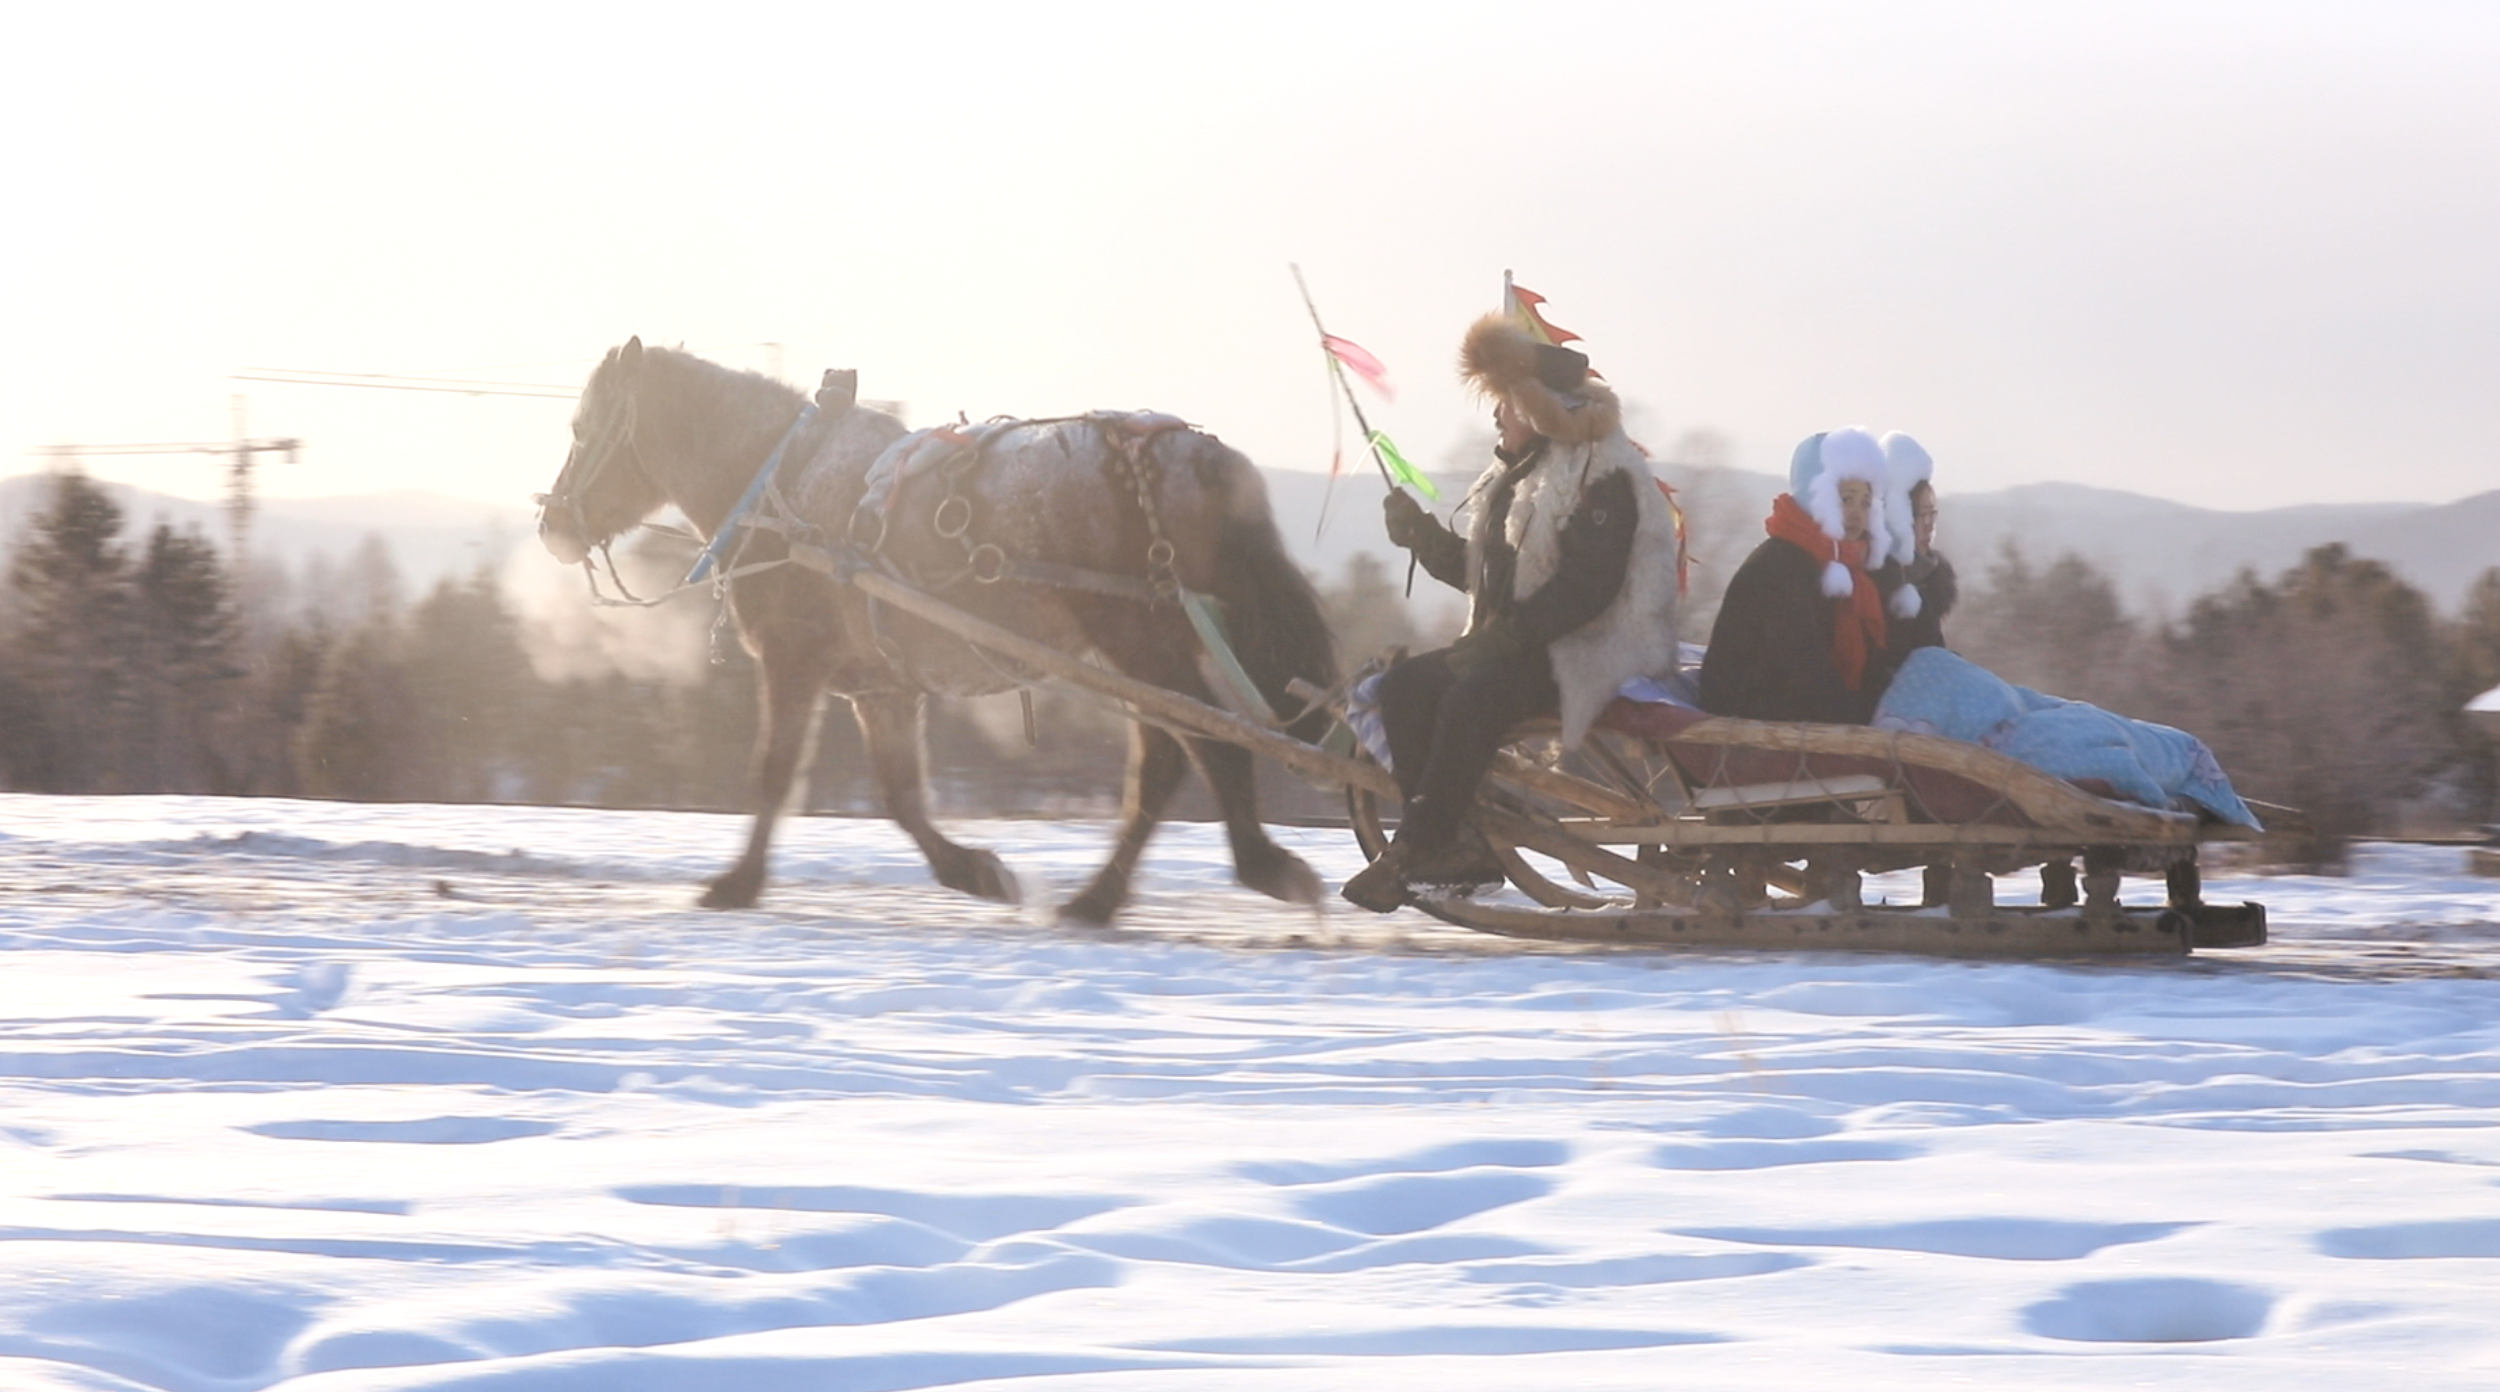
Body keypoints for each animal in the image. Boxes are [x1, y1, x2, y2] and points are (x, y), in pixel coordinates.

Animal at [535, 339, 1340, 924]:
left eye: (581, 429)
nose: (551, 526)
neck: (781, 479)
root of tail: (1195, 455)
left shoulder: (794, 661)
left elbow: (774, 771)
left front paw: (737, 883)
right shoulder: (880, 685)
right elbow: (900, 793)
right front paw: (973, 869)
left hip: (1138, 639)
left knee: (1202, 750)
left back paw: (1245, 869)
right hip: (1143, 649)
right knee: (1171, 758)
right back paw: (1101, 897)